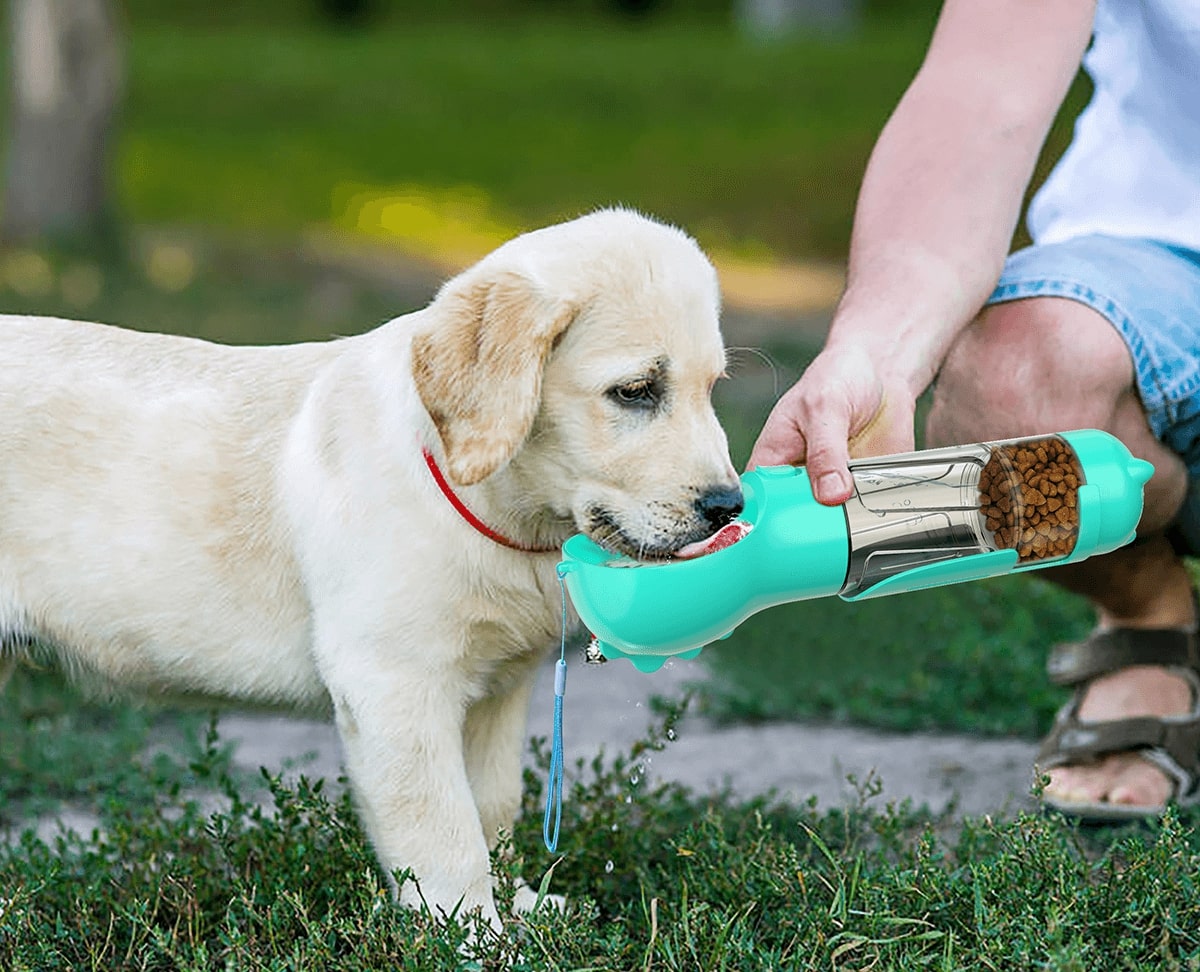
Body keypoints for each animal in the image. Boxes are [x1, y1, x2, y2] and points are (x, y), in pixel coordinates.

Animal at [0, 210, 739, 926]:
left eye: (711, 389)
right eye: (636, 391)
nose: (729, 506)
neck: (492, 505)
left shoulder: (498, 691)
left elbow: (493, 808)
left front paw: (520, 907)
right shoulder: (393, 684)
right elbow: (445, 833)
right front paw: (476, 936)